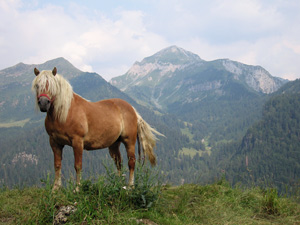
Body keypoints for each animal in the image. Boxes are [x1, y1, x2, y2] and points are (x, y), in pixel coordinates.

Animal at [31, 67, 163, 192]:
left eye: (52, 85)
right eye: (37, 85)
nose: (43, 103)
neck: (65, 113)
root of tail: (132, 109)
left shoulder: (77, 142)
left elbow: (78, 165)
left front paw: (77, 188)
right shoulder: (55, 142)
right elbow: (57, 165)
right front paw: (55, 189)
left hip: (129, 141)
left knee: (131, 162)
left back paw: (130, 186)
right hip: (114, 145)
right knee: (119, 163)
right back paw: (119, 185)